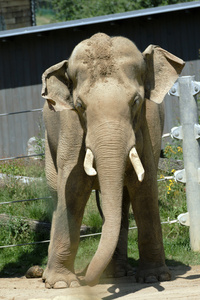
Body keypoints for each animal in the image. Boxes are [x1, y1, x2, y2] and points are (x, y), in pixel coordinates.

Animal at [41, 32, 184, 288]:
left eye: (136, 101)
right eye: (80, 106)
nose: (87, 280)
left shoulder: (145, 129)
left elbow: (145, 188)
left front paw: (154, 277)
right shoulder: (72, 132)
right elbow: (72, 190)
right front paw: (62, 284)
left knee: (123, 200)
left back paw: (116, 273)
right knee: (56, 193)